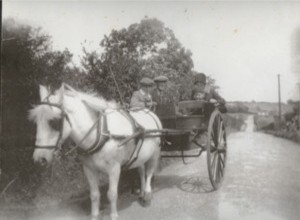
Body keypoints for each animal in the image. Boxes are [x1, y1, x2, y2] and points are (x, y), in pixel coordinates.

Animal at [28, 84, 162, 218]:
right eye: (36, 122)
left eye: (54, 122)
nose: (39, 159)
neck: (101, 134)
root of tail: (150, 112)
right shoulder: (89, 169)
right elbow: (94, 194)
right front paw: (95, 215)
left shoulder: (114, 169)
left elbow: (112, 194)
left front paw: (113, 215)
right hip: (140, 156)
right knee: (141, 171)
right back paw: (142, 193)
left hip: (154, 153)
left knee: (149, 172)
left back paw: (147, 195)